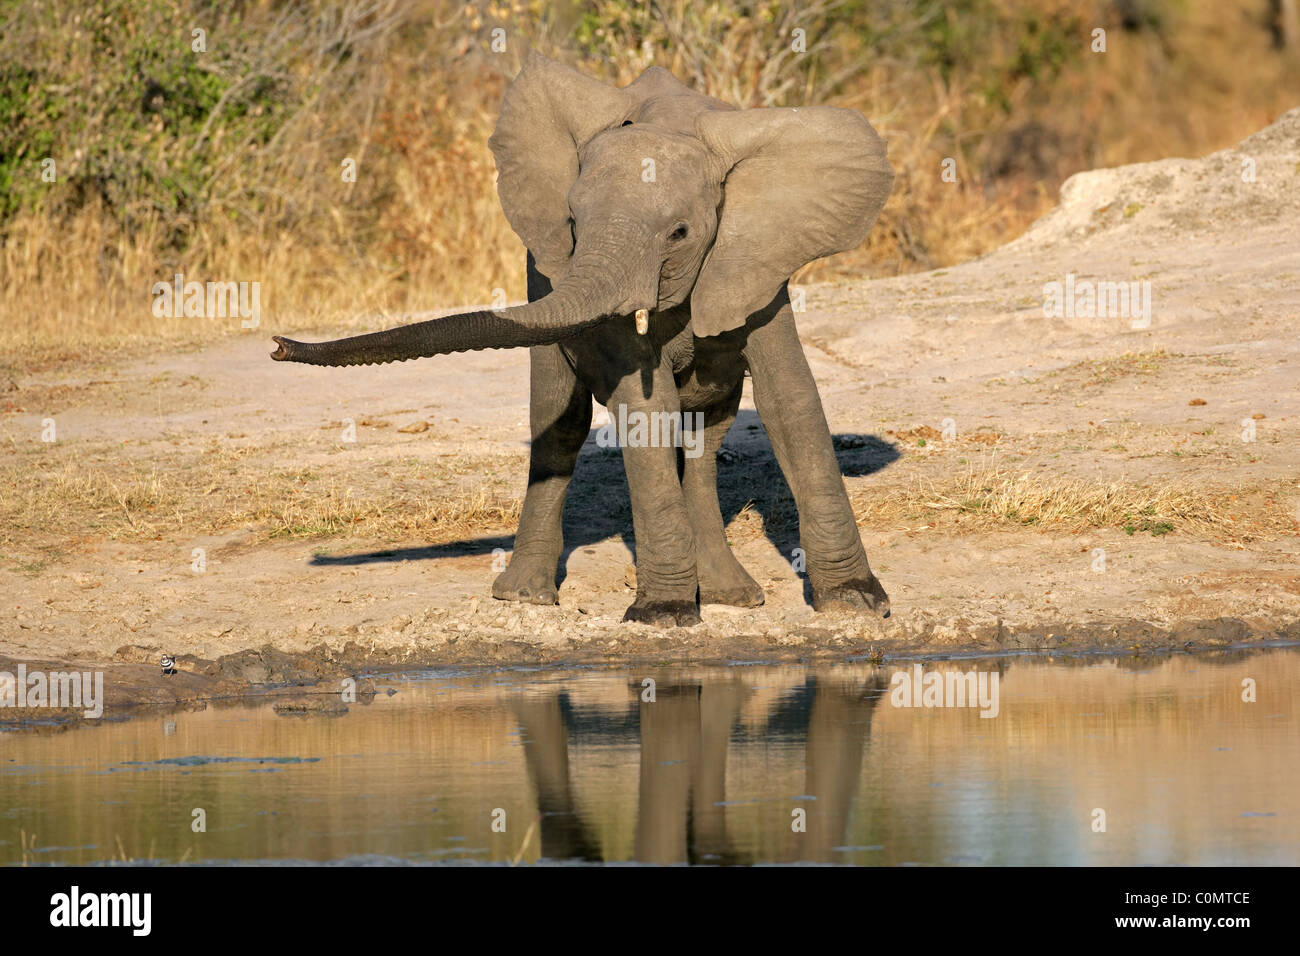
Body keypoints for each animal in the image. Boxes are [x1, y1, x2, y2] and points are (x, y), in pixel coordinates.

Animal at [269, 52, 899, 629]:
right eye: (573, 223)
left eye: (680, 233)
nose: (278, 345)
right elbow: (645, 404)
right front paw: (665, 616)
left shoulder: (759, 255)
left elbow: (790, 400)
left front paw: (858, 604)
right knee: (560, 421)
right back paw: (525, 598)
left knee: (704, 431)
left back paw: (730, 597)